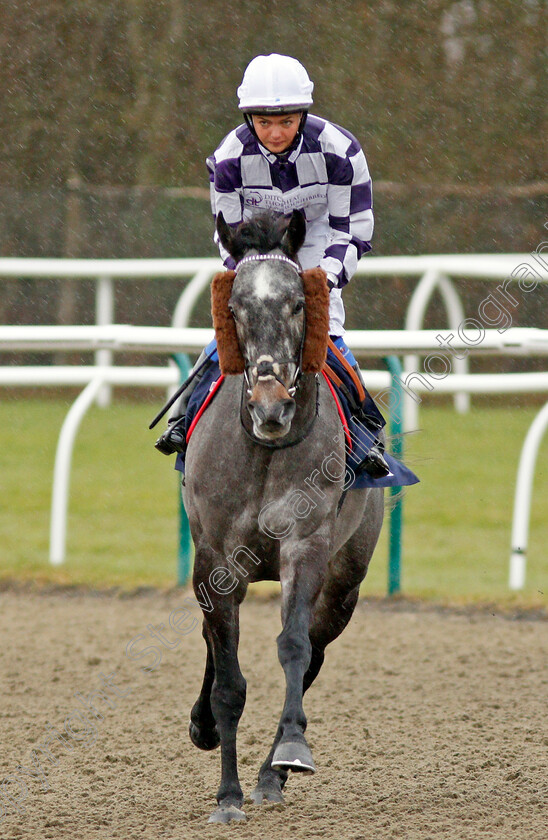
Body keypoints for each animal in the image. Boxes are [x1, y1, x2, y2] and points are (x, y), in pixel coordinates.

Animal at [182, 208, 384, 820]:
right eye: (235, 306)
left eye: (298, 302)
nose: (272, 406)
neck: (265, 447)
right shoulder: (216, 560)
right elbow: (228, 679)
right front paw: (227, 795)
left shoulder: (306, 546)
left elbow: (294, 648)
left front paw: (289, 751)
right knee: (213, 642)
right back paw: (206, 727)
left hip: (345, 583)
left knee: (313, 654)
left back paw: (273, 773)